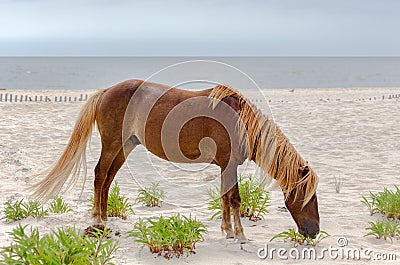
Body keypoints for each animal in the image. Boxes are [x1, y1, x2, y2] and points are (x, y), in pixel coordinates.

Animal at [29, 78, 320, 239]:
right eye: (308, 197)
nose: (314, 232)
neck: (240, 120)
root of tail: (107, 91)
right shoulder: (229, 165)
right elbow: (235, 199)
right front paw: (240, 235)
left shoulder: (225, 167)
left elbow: (225, 198)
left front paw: (227, 230)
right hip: (112, 144)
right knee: (100, 175)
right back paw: (98, 221)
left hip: (125, 147)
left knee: (108, 179)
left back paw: (104, 218)